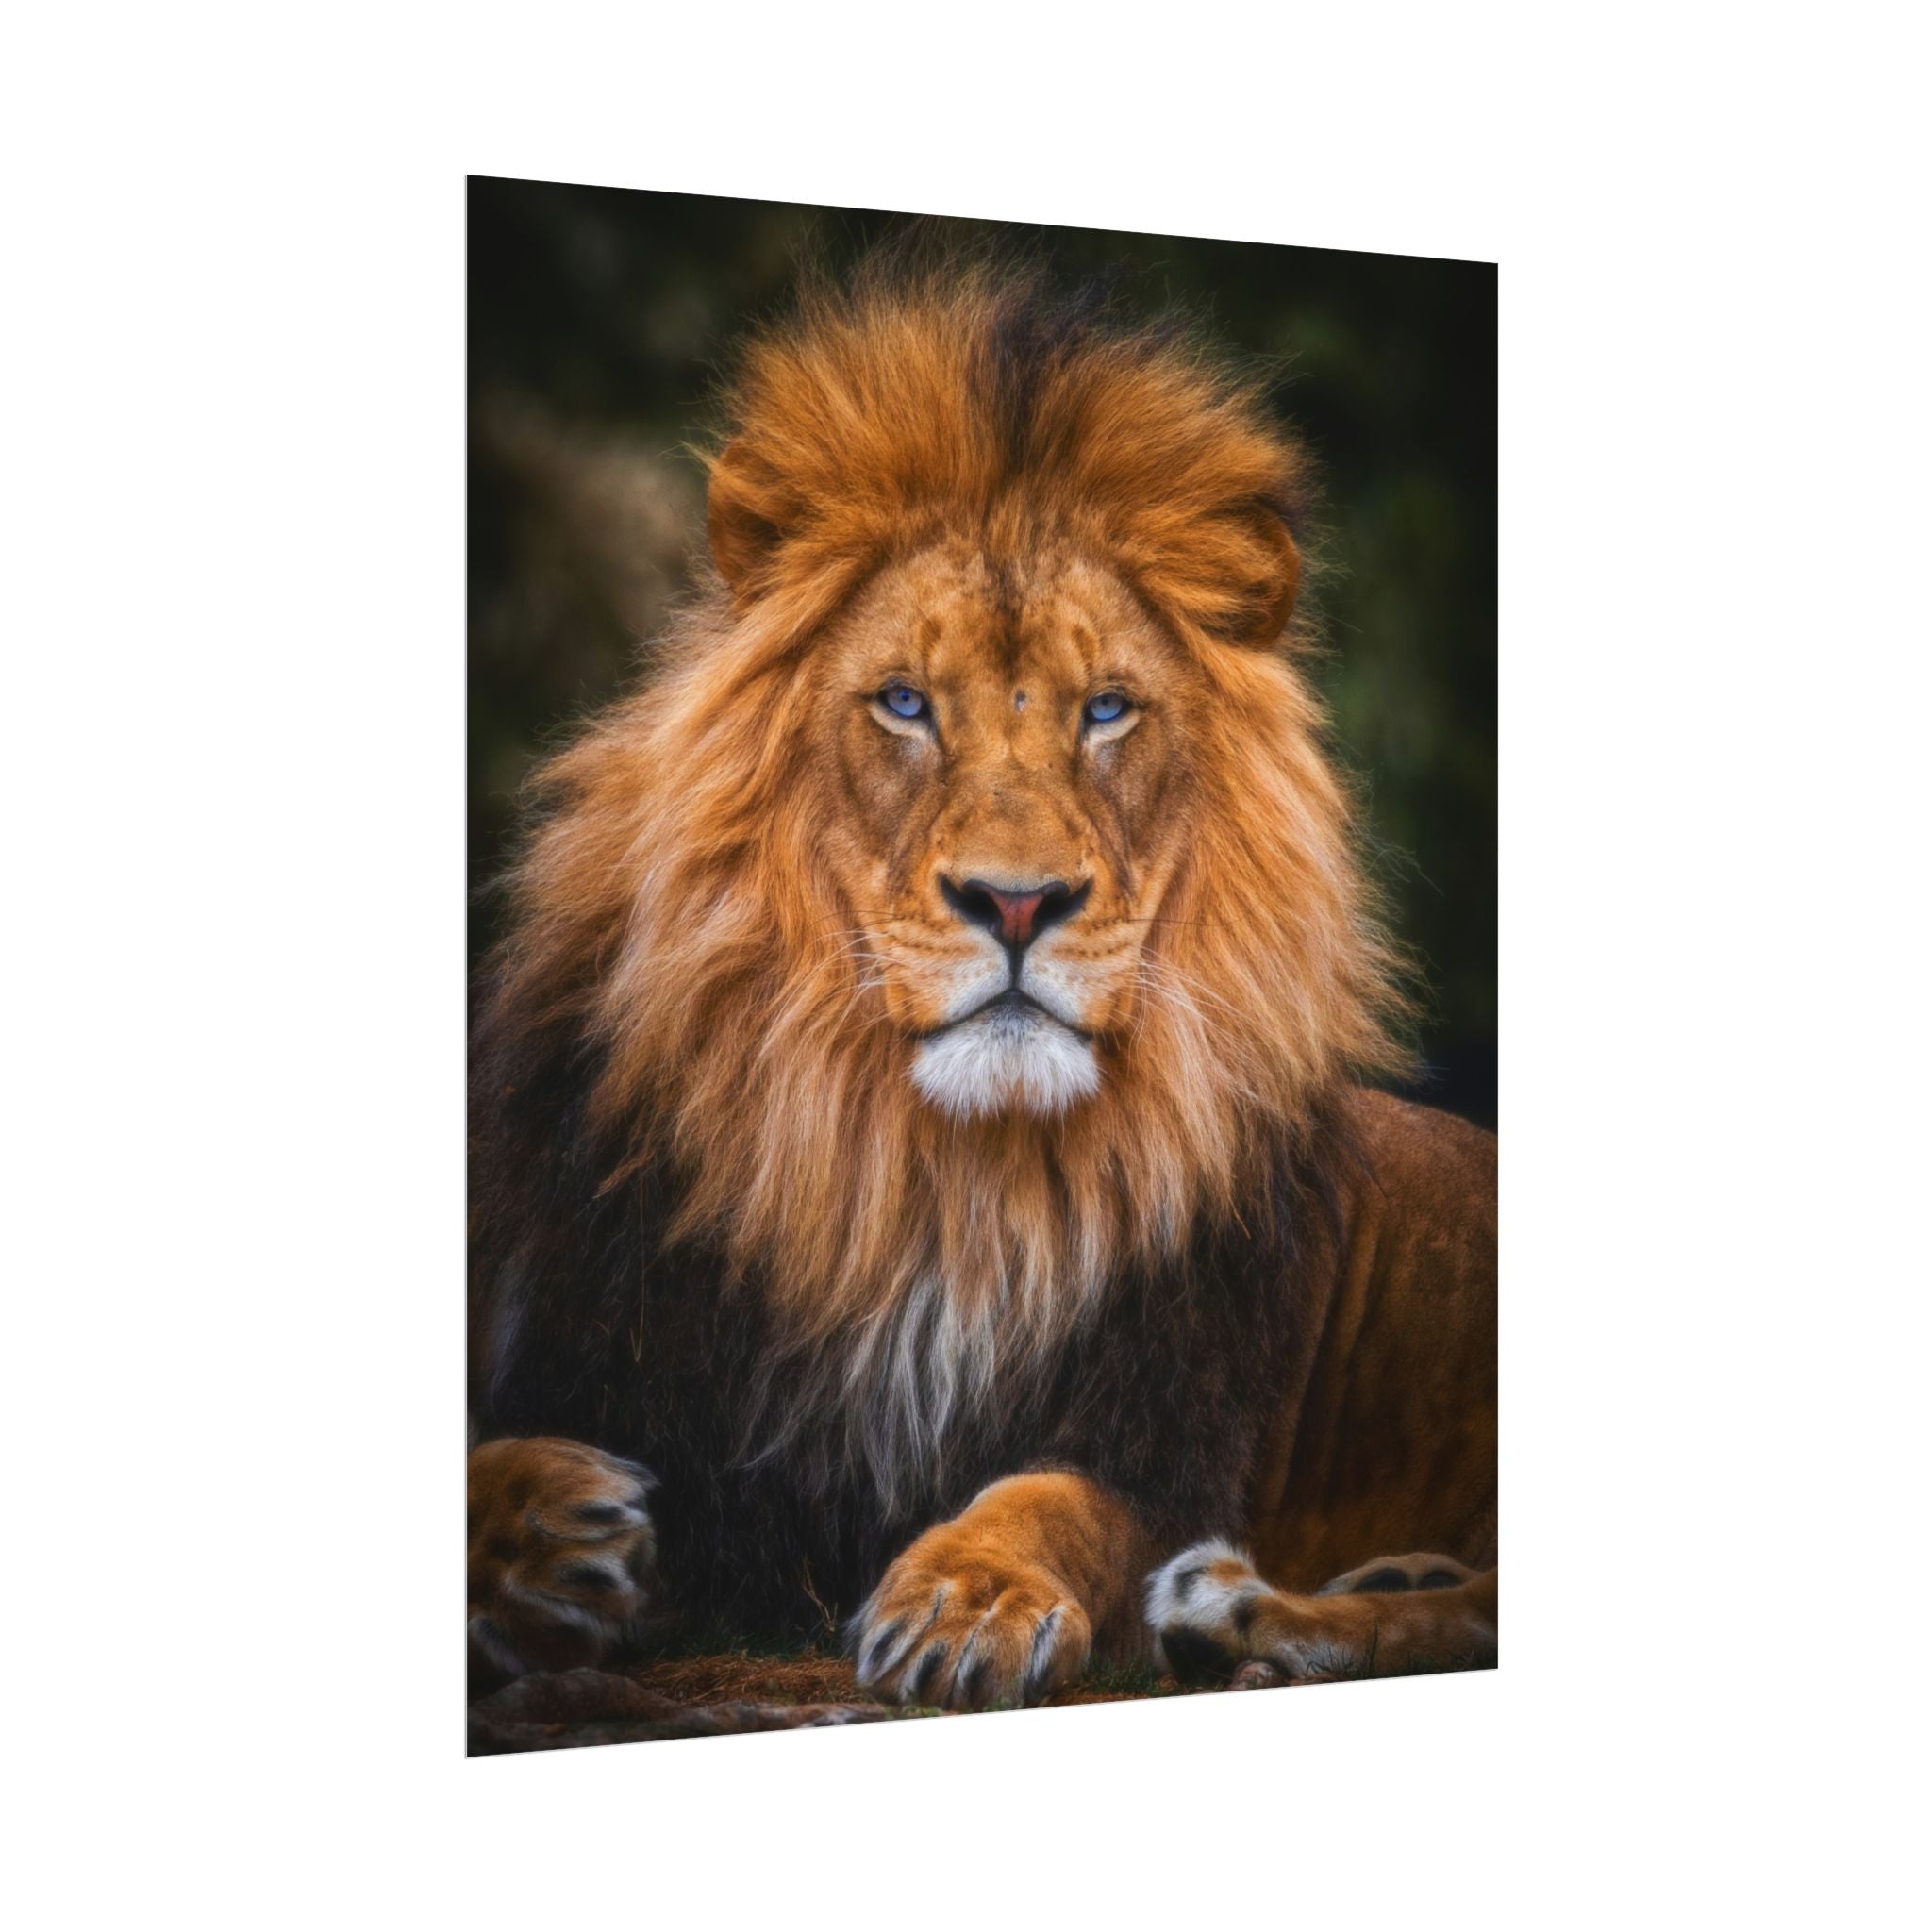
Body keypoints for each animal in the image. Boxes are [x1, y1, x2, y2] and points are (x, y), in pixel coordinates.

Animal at [467, 257, 1497, 1712]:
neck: (931, 1180)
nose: (1016, 902)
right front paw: (545, 1534)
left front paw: (969, 1597)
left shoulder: (1165, 1435)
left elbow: (1051, 1499)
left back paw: (1239, 1612)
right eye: (904, 702)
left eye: (1107, 710)